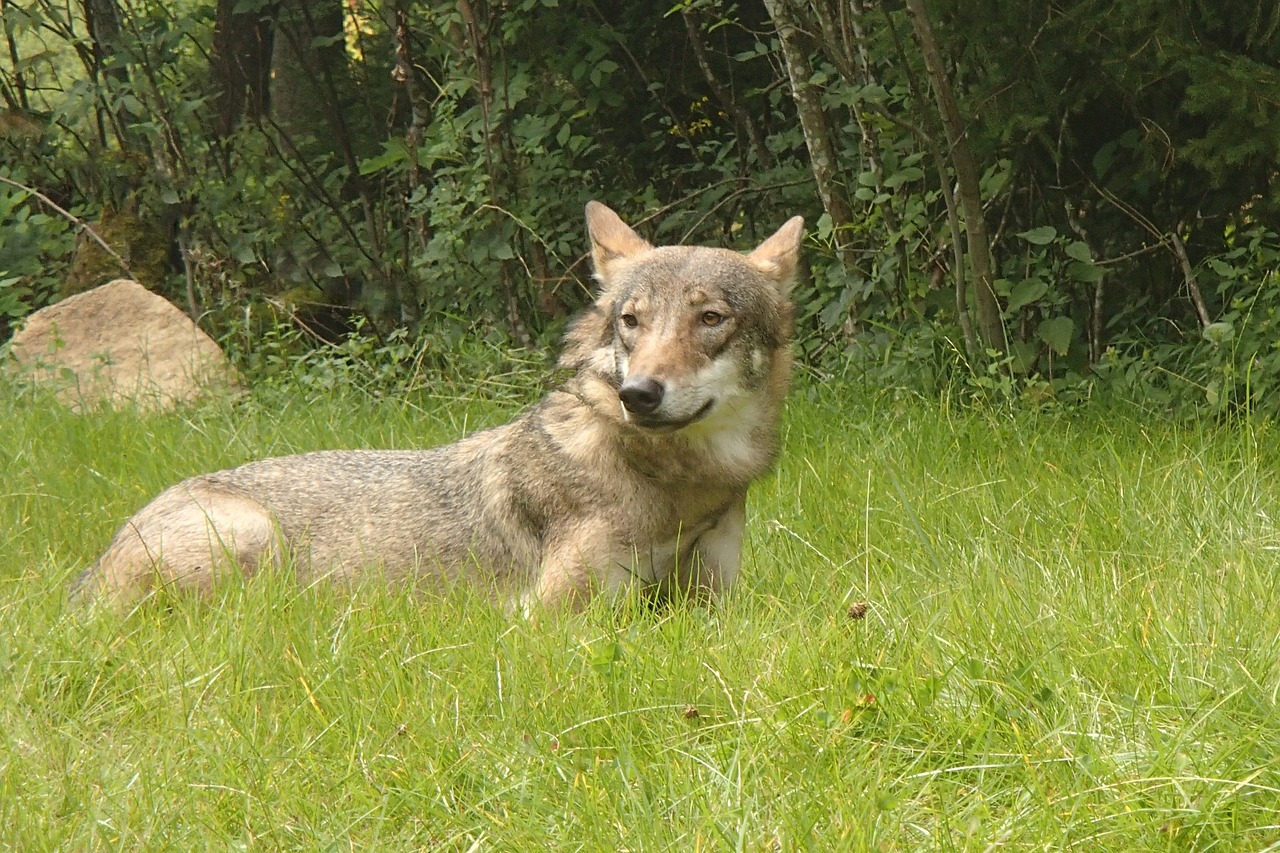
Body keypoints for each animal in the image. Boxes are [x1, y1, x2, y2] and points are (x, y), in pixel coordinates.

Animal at [70, 202, 798, 607]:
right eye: (631, 322)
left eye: (710, 318)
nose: (638, 393)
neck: (678, 492)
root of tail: (91, 571)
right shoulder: (557, 619)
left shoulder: (716, 603)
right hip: (255, 540)